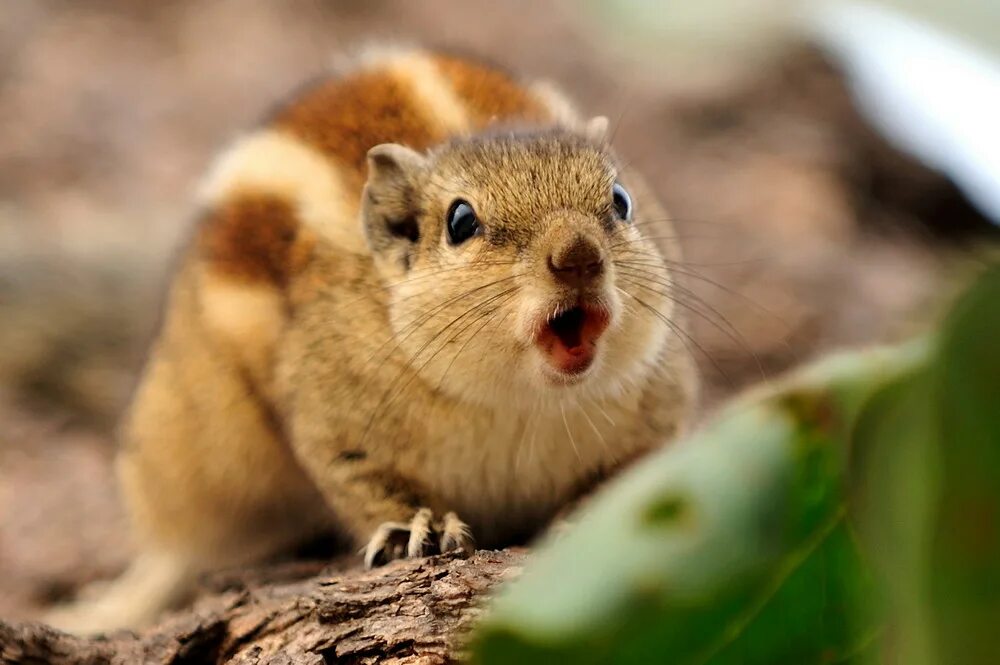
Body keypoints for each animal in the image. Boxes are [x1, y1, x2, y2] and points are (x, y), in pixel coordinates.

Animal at [41, 45, 696, 632]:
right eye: (461, 222)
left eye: (621, 200)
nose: (579, 256)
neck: (519, 401)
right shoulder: (333, 421)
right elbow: (358, 478)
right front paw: (417, 529)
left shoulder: (659, 414)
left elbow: (632, 475)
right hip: (196, 445)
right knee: (178, 548)